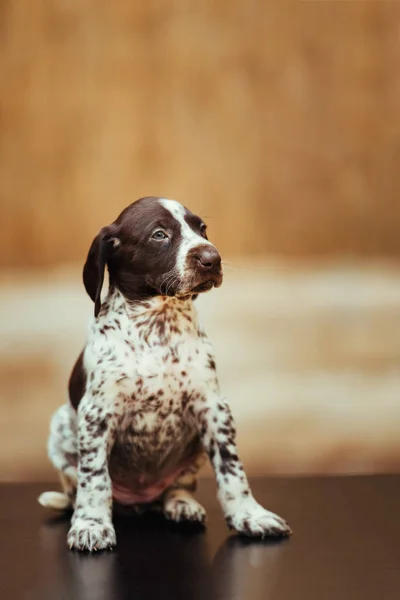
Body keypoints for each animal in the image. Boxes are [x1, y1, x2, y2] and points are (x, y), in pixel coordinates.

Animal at [38, 196, 290, 548]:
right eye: (159, 235)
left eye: (202, 229)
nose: (212, 258)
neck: (159, 326)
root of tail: (139, 501)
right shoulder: (96, 413)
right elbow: (95, 477)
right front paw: (91, 525)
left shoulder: (214, 409)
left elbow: (232, 470)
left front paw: (250, 516)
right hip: (62, 424)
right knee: (76, 489)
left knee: (177, 487)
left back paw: (181, 505)